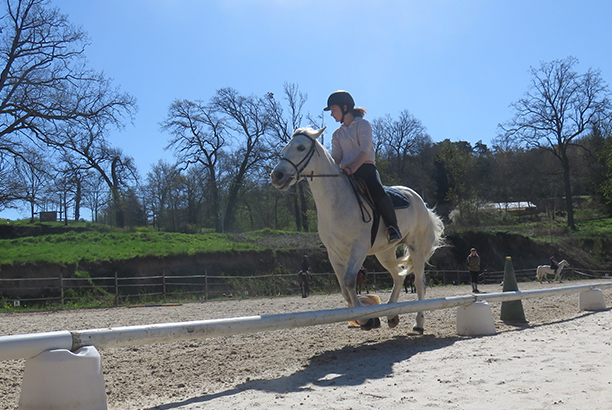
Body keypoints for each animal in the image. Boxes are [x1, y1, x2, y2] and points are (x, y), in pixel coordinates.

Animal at [270, 125, 442, 334]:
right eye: (285, 148)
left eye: (301, 147)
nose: (276, 176)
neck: (336, 201)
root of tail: (418, 198)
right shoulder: (335, 254)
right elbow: (344, 288)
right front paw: (365, 317)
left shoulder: (358, 248)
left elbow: (350, 281)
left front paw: (366, 319)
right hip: (385, 253)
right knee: (398, 277)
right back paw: (392, 316)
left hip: (415, 248)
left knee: (418, 281)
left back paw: (418, 323)